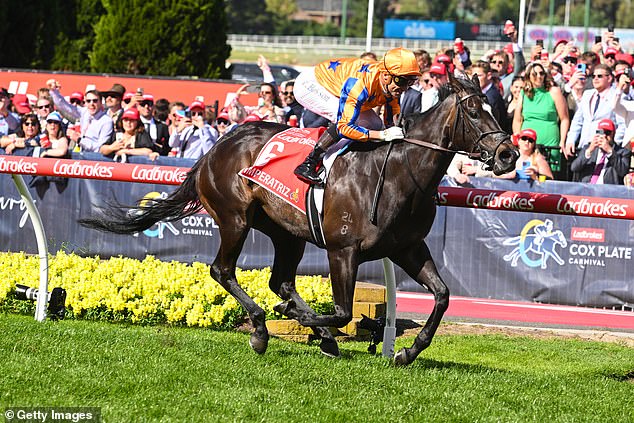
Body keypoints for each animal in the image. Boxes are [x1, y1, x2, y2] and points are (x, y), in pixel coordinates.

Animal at [79, 72, 516, 364]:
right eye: (474, 111)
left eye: (495, 109)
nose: (508, 155)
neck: (398, 172)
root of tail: (218, 145)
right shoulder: (344, 250)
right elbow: (342, 310)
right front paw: (299, 318)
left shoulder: (407, 247)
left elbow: (442, 296)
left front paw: (407, 351)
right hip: (235, 218)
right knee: (223, 270)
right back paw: (262, 329)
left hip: (286, 232)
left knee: (281, 281)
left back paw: (314, 332)